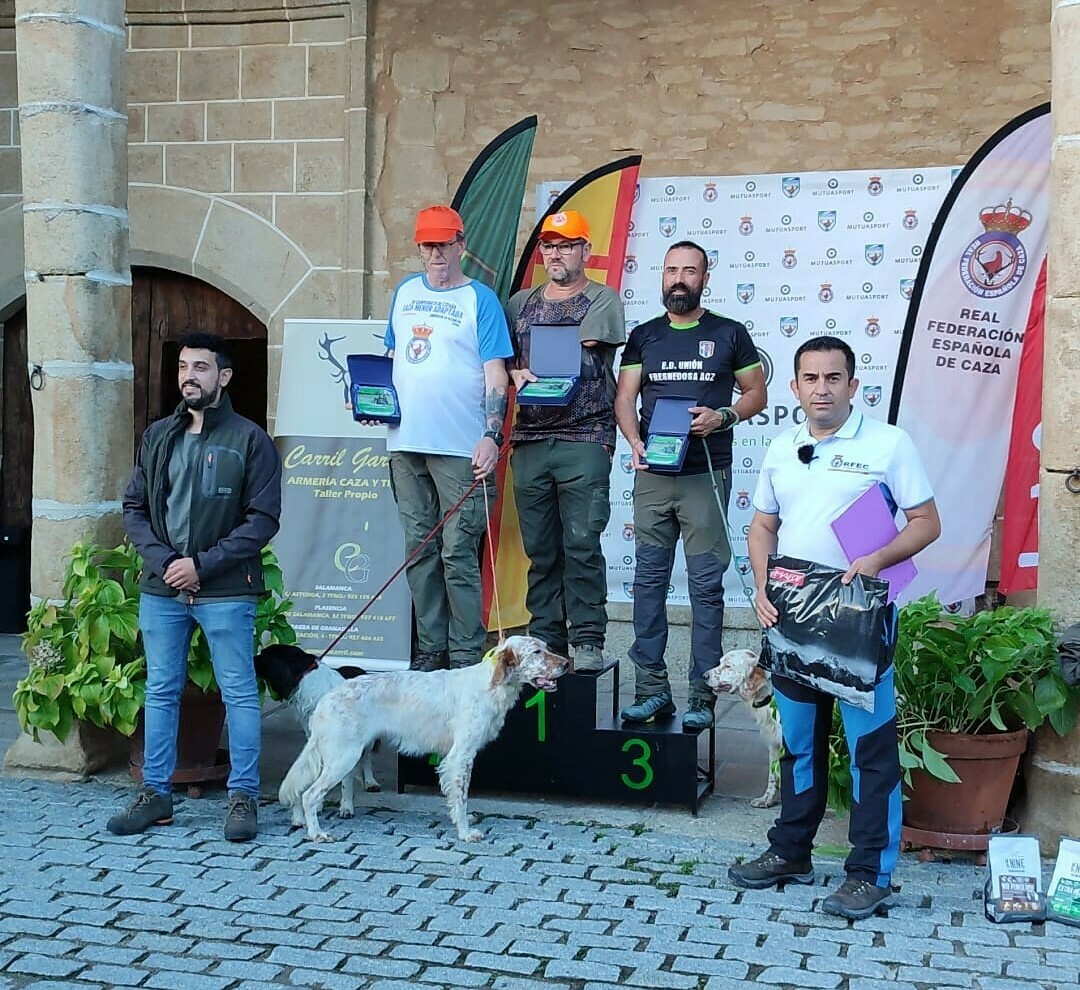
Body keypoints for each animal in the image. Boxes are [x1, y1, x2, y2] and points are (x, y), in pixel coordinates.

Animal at [255, 644, 380, 820]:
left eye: (263, 656)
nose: (250, 658)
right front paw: (318, 805)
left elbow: (345, 783)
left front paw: (346, 807)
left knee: (366, 757)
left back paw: (370, 781)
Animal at [279, 635, 569, 843]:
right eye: (536, 652)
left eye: (547, 647)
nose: (566, 664)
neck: (490, 686)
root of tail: (327, 699)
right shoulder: (460, 756)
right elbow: (461, 799)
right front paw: (466, 833)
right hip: (343, 757)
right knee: (310, 794)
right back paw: (316, 833)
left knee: (301, 788)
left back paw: (299, 821)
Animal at [704, 648, 781, 808]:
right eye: (720, 662)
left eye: (728, 666)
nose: (704, 676)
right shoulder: (774, 743)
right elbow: (772, 775)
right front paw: (766, 799)